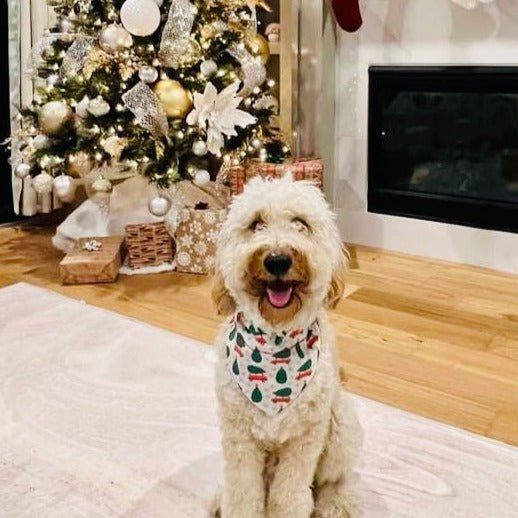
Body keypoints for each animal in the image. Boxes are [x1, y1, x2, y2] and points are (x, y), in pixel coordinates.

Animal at [211, 176, 362, 518]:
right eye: (256, 224)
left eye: (300, 223)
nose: (277, 260)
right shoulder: (239, 436)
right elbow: (243, 494)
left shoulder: (305, 440)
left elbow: (289, 495)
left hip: (340, 427)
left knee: (333, 479)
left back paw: (336, 503)